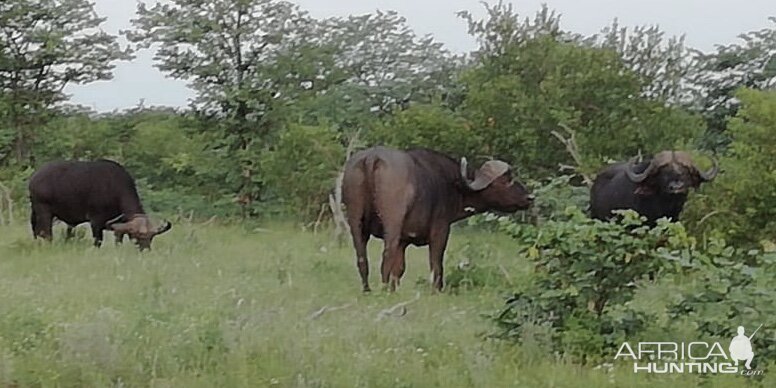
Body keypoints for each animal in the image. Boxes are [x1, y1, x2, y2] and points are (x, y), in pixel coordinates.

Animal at [29, 159, 173, 250]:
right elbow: (98, 241)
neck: (114, 190)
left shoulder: (119, 225)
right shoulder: (96, 221)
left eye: (151, 237)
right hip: (44, 212)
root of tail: (35, 177)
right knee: (46, 233)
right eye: (138, 236)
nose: (146, 250)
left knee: (36, 231)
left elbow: (118, 241)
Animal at [344, 147, 532, 292]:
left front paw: (394, 289)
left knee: (362, 259)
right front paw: (436, 289)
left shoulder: (403, 241)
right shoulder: (440, 231)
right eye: (506, 180)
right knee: (386, 256)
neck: (454, 185)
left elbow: (399, 269)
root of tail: (372, 158)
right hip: (392, 223)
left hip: (356, 223)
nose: (529, 197)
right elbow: (436, 263)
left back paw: (368, 290)